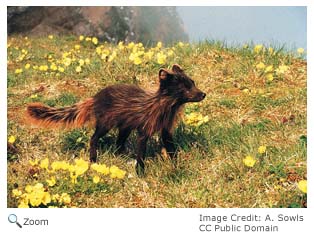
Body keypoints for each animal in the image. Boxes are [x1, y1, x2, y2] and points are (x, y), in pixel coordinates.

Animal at [26, 64, 206, 175]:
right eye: (185, 87)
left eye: (193, 82)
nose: (203, 94)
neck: (165, 109)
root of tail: (95, 97)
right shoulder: (144, 130)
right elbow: (141, 154)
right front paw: (141, 173)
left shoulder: (166, 130)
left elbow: (171, 149)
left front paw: (176, 165)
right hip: (106, 123)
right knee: (93, 138)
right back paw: (94, 159)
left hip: (125, 127)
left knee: (118, 143)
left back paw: (122, 156)